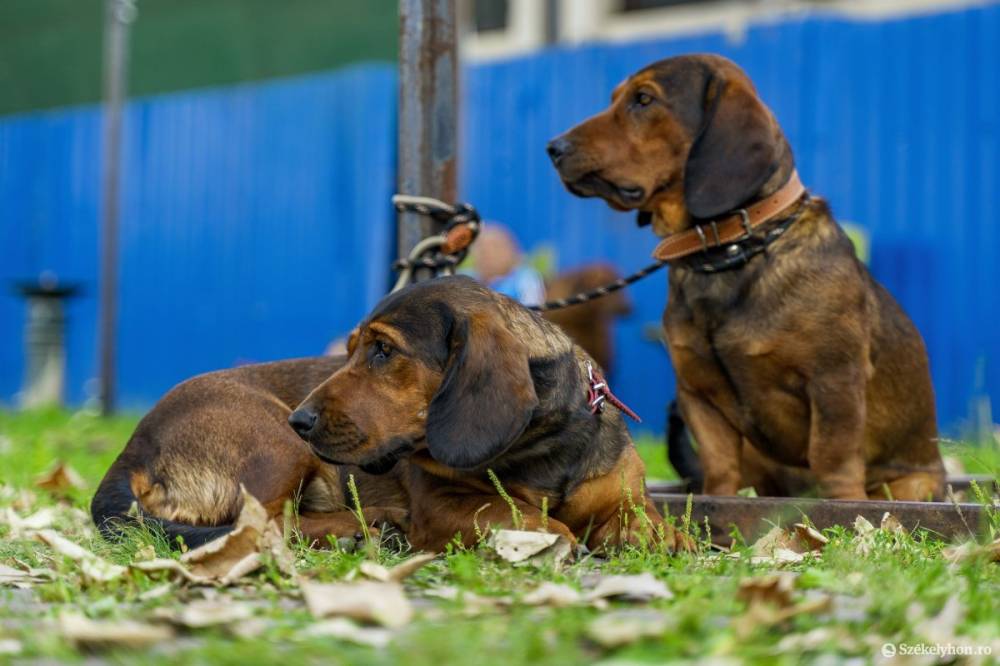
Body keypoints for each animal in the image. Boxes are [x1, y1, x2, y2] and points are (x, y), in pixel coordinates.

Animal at [286, 274, 684, 548]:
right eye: (350, 349)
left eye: (383, 349)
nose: (299, 421)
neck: (542, 449)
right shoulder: (441, 505)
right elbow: (510, 510)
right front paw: (553, 535)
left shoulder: (625, 493)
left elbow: (643, 513)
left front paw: (663, 534)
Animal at [548, 53, 944, 498]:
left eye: (644, 99)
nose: (554, 148)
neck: (727, 253)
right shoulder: (698, 394)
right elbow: (720, 469)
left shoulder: (834, 382)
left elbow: (833, 459)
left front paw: (845, 502)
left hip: (914, 484)